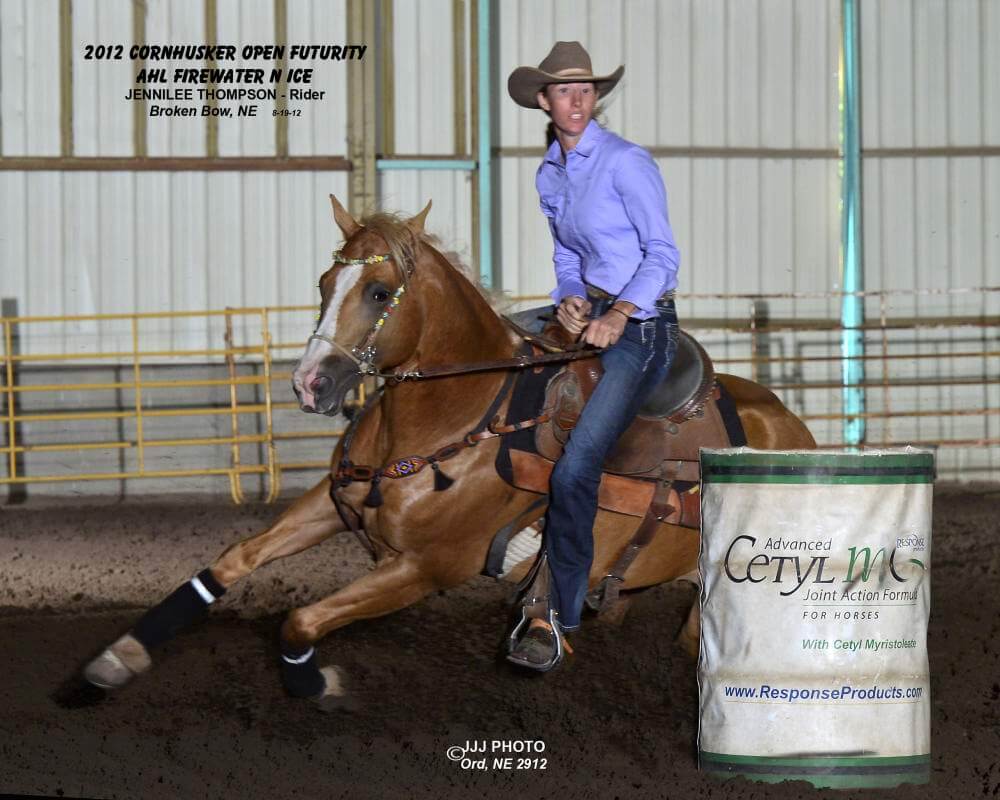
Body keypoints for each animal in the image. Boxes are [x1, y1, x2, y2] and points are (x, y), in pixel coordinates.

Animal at [77, 196, 815, 708]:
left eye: (378, 292)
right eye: (323, 284)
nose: (309, 383)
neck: (456, 416)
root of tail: (793, 427)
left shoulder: (424, 568)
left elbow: (301, 620)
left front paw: (320, 686)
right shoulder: (335, 504)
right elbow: (232, 561)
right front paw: (117, 658)